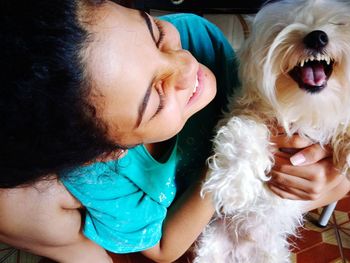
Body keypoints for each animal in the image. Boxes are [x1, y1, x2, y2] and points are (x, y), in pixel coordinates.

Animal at [194, 0, 350, 263]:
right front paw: (234, 188)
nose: (317, 37)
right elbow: (244, 136)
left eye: (338, 23)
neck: (304, 110)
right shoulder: (245, 113)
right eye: (282, 28)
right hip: (211, 249)